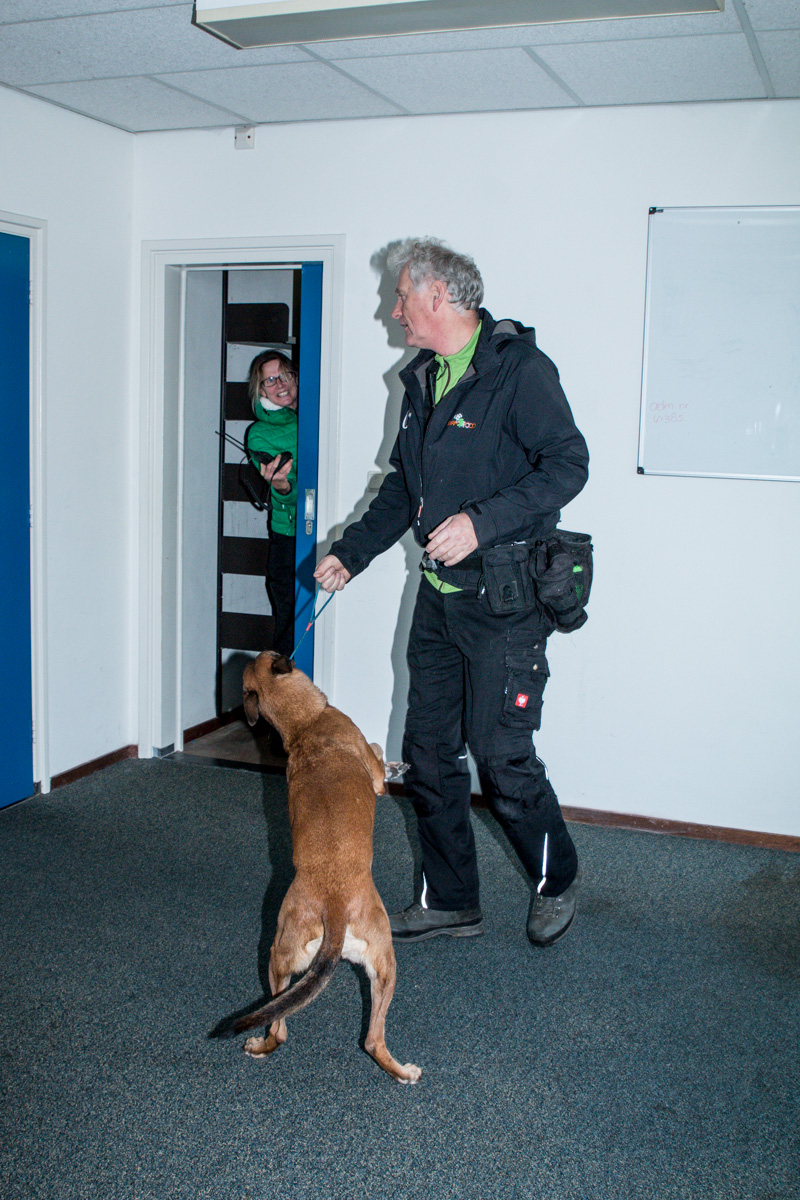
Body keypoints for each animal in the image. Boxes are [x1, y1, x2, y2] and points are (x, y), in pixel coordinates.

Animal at [209, 651, 421, 1085]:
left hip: (279, 959)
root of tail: (334, 905)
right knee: (372, 1040)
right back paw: (404, 1072)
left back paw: (260, 1047)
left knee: (280, 1028)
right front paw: (396, 764)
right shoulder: (373, 771)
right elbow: (378, 756)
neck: (306, 724)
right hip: (386, 961)